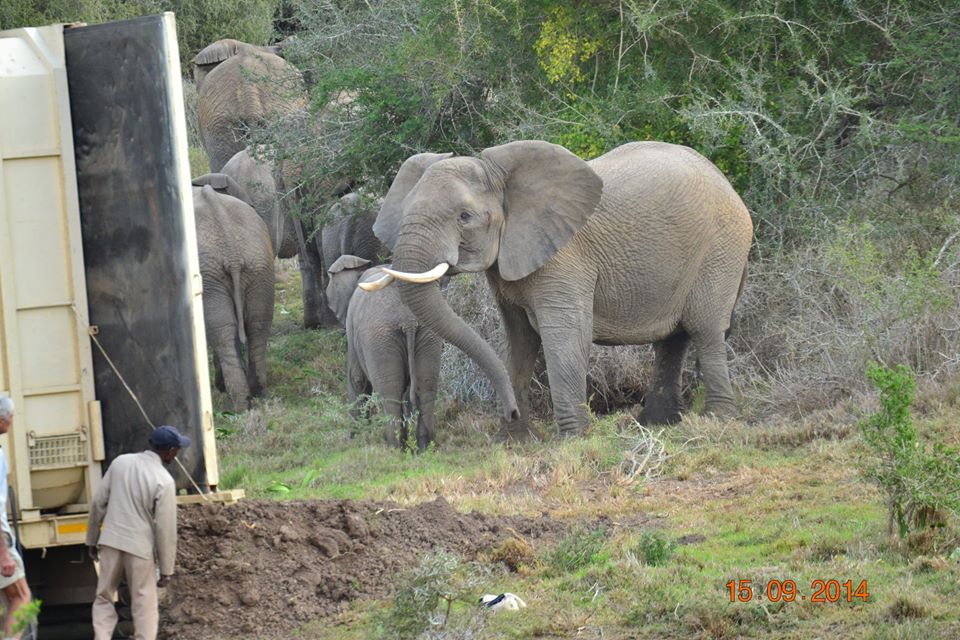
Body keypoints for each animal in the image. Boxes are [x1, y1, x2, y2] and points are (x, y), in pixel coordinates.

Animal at [191, 182, 274, 412]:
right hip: (259, 266)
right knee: (257, 324)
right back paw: (257, 393)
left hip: (211, 275)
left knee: (223, 332)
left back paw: (235, 406)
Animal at [322, 255, 442, 450]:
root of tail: (408, 320)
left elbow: (357, 379)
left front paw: (356, 437)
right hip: (428, 335)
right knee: (426, 390)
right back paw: (425, 448)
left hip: (379, 339)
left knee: (390, 395)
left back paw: (394, 448)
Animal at [372, 142, 752, 438]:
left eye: (464, 217)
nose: (509, 411)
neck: (505, 180)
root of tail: (727, 183)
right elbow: (519, 340)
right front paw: (513, 442)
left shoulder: (564, 257)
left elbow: (565, 334)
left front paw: (573, 440)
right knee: (672, 339)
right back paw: (657, 425)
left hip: (722, 247)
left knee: (705, 329)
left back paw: (717, 420)